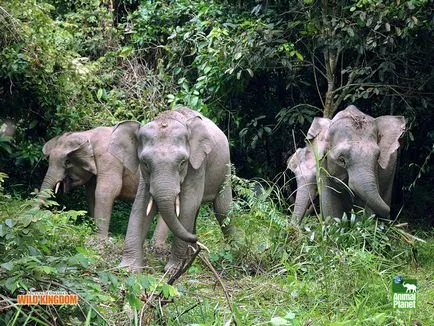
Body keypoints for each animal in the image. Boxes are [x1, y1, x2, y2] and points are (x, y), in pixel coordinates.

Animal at [39, 126, 169, 243]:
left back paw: (156, 245)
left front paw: (101, 239)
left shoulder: (109, 159)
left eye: (67, 162)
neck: (88, 134)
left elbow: (106, 191)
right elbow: (91, 195)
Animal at [109, 106, 234, 272]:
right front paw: (127, 269)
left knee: (223, 209)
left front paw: (172, 269)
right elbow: (141, 205)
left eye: (182, 163)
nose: (198, 240)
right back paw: (192, 253)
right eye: (145, 163)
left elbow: (188, 204)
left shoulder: (197, 164)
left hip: (225, 169)